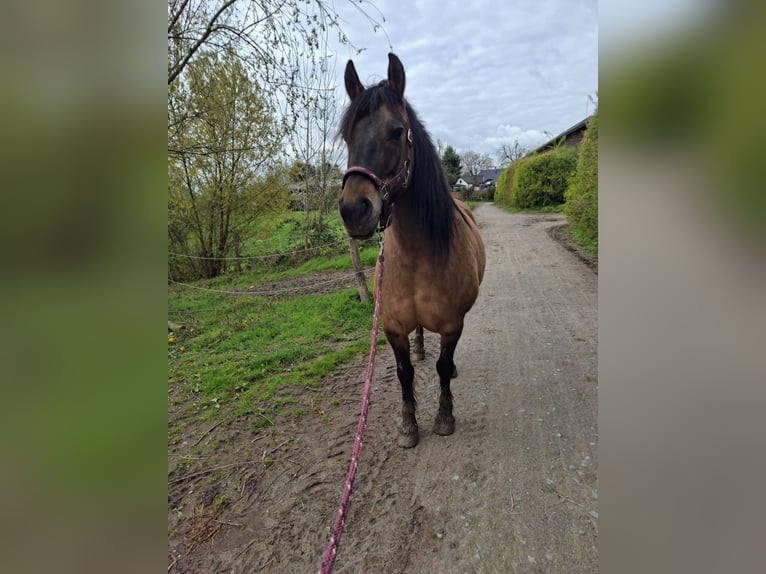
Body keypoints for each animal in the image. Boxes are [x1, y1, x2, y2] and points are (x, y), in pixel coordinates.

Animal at [338, 53, 486, 448]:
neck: (418, 256)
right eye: (346, 136)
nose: (353, 210)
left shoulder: (452, 325)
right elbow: (405, 372)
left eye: (395, 131)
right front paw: (407, 425)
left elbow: (442, 367)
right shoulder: (391, 327)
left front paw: (444, 417)